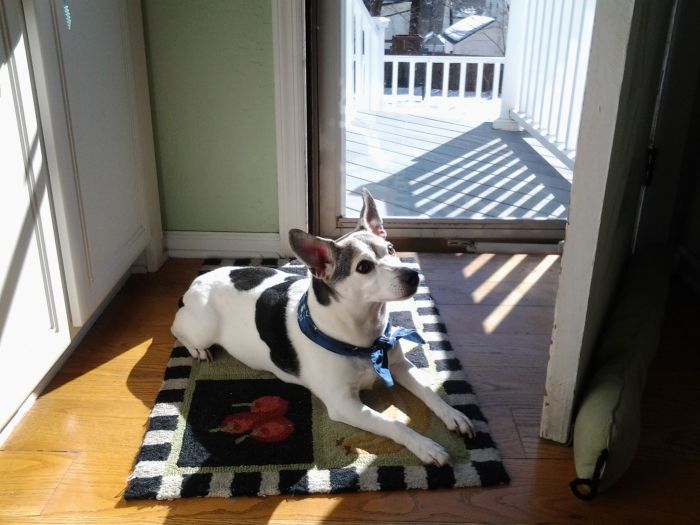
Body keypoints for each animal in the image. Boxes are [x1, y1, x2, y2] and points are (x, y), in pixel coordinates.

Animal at [171, 189, 474, 465]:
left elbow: (428, 391)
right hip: (202, 326)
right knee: (177, 328)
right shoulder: (344, 404)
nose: (413, 275)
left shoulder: (399, 365)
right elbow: (395, 424)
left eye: (390, 249)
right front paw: (426, 446)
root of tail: (198, 280)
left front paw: (454, 415)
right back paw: (197, 350)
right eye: (364, 267)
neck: (363, 337)